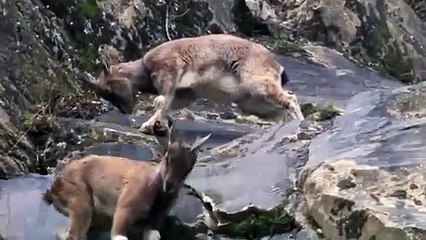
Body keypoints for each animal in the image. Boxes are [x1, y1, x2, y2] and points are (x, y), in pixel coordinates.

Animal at [41, 126, 211, 239]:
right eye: (167, 156)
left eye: (190, 165)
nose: (169, 186)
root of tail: (53, 188)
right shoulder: (124, 209)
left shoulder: (154, 221)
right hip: (81, 202)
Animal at [86, 33, 304, 135]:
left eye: (109, 90)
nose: (125, 111)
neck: (145, 68)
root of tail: (275, 64)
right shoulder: (185, 93)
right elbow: (167, 105)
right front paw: (161, 126)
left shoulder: (169, 73)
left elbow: (161, 102)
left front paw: (147, 126)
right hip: (254, 102)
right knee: (280, 111)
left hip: (257, 84)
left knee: (290, 98)